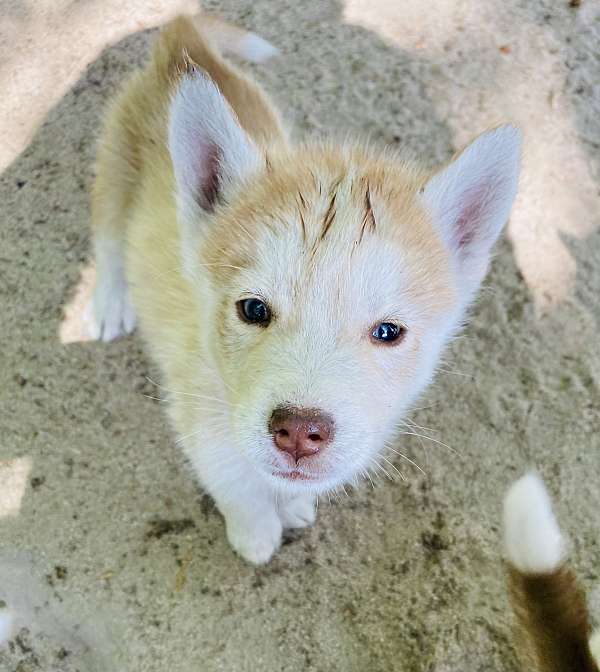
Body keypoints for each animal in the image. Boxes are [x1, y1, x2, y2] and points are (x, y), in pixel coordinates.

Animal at [88, 14, 520, 560]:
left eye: (388, 332)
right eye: (253, 309)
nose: (297, 433)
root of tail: (181, 42)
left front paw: (290, 504)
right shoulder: (198, 414)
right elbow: (234, 480)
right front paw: (255, 533)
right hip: (112, 175)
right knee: (107, 242)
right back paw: (109, 303)